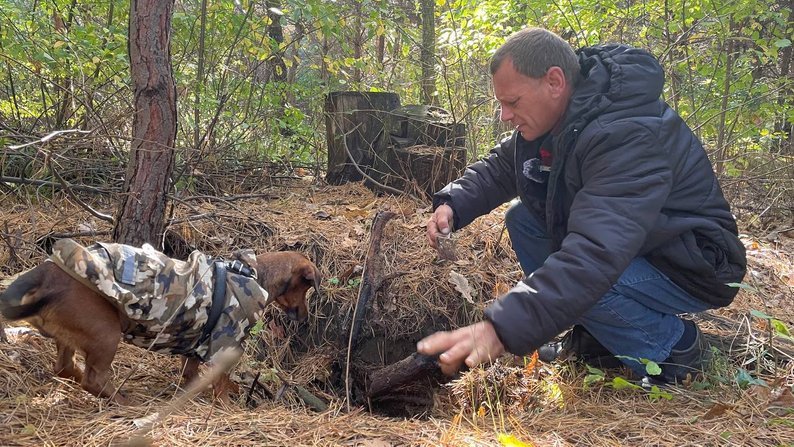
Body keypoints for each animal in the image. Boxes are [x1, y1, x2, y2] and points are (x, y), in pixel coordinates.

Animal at [0, 242, 318, 406]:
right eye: (306, 289)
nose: (305, 318)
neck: (253, 275)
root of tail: (47, 271)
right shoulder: (225, 347)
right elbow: (222, 385)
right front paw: (229, 405)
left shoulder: (195, 348)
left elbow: (191, 375)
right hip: (106, 333)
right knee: (94, 379)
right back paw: (123, 401)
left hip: (72, 336)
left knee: (65, 369)